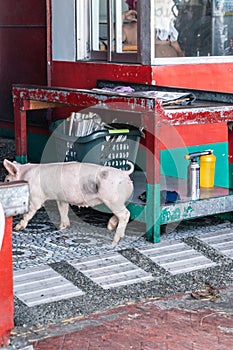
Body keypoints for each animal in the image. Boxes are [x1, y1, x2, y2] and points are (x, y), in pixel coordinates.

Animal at [3, 159, 134, 243]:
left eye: (8, 180)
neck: (26, 176)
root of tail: (125, 174)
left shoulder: (36, 197)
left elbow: (29, 212)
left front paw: (17, 228)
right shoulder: (61, 198)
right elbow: (63, 210)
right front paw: (62, 227)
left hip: (112, 199)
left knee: (125, 214)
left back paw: (115, 240)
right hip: (119, 201)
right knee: (123, 213)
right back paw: (111, 227)